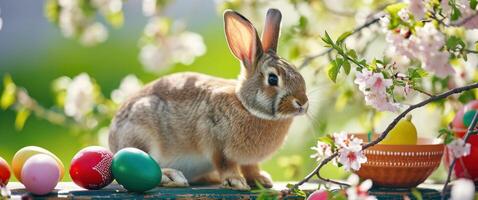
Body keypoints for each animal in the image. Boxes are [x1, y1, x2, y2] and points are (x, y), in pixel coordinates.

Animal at [108, 8, 310, 191]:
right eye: (273, 79)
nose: (303, 103)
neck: (247, 106)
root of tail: (113, 140)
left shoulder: (248, 160)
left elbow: (250, 168)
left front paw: (261, 180)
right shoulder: (217, 144)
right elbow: (225, 164)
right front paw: (236, 182)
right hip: (141, 134)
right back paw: (171, 176)